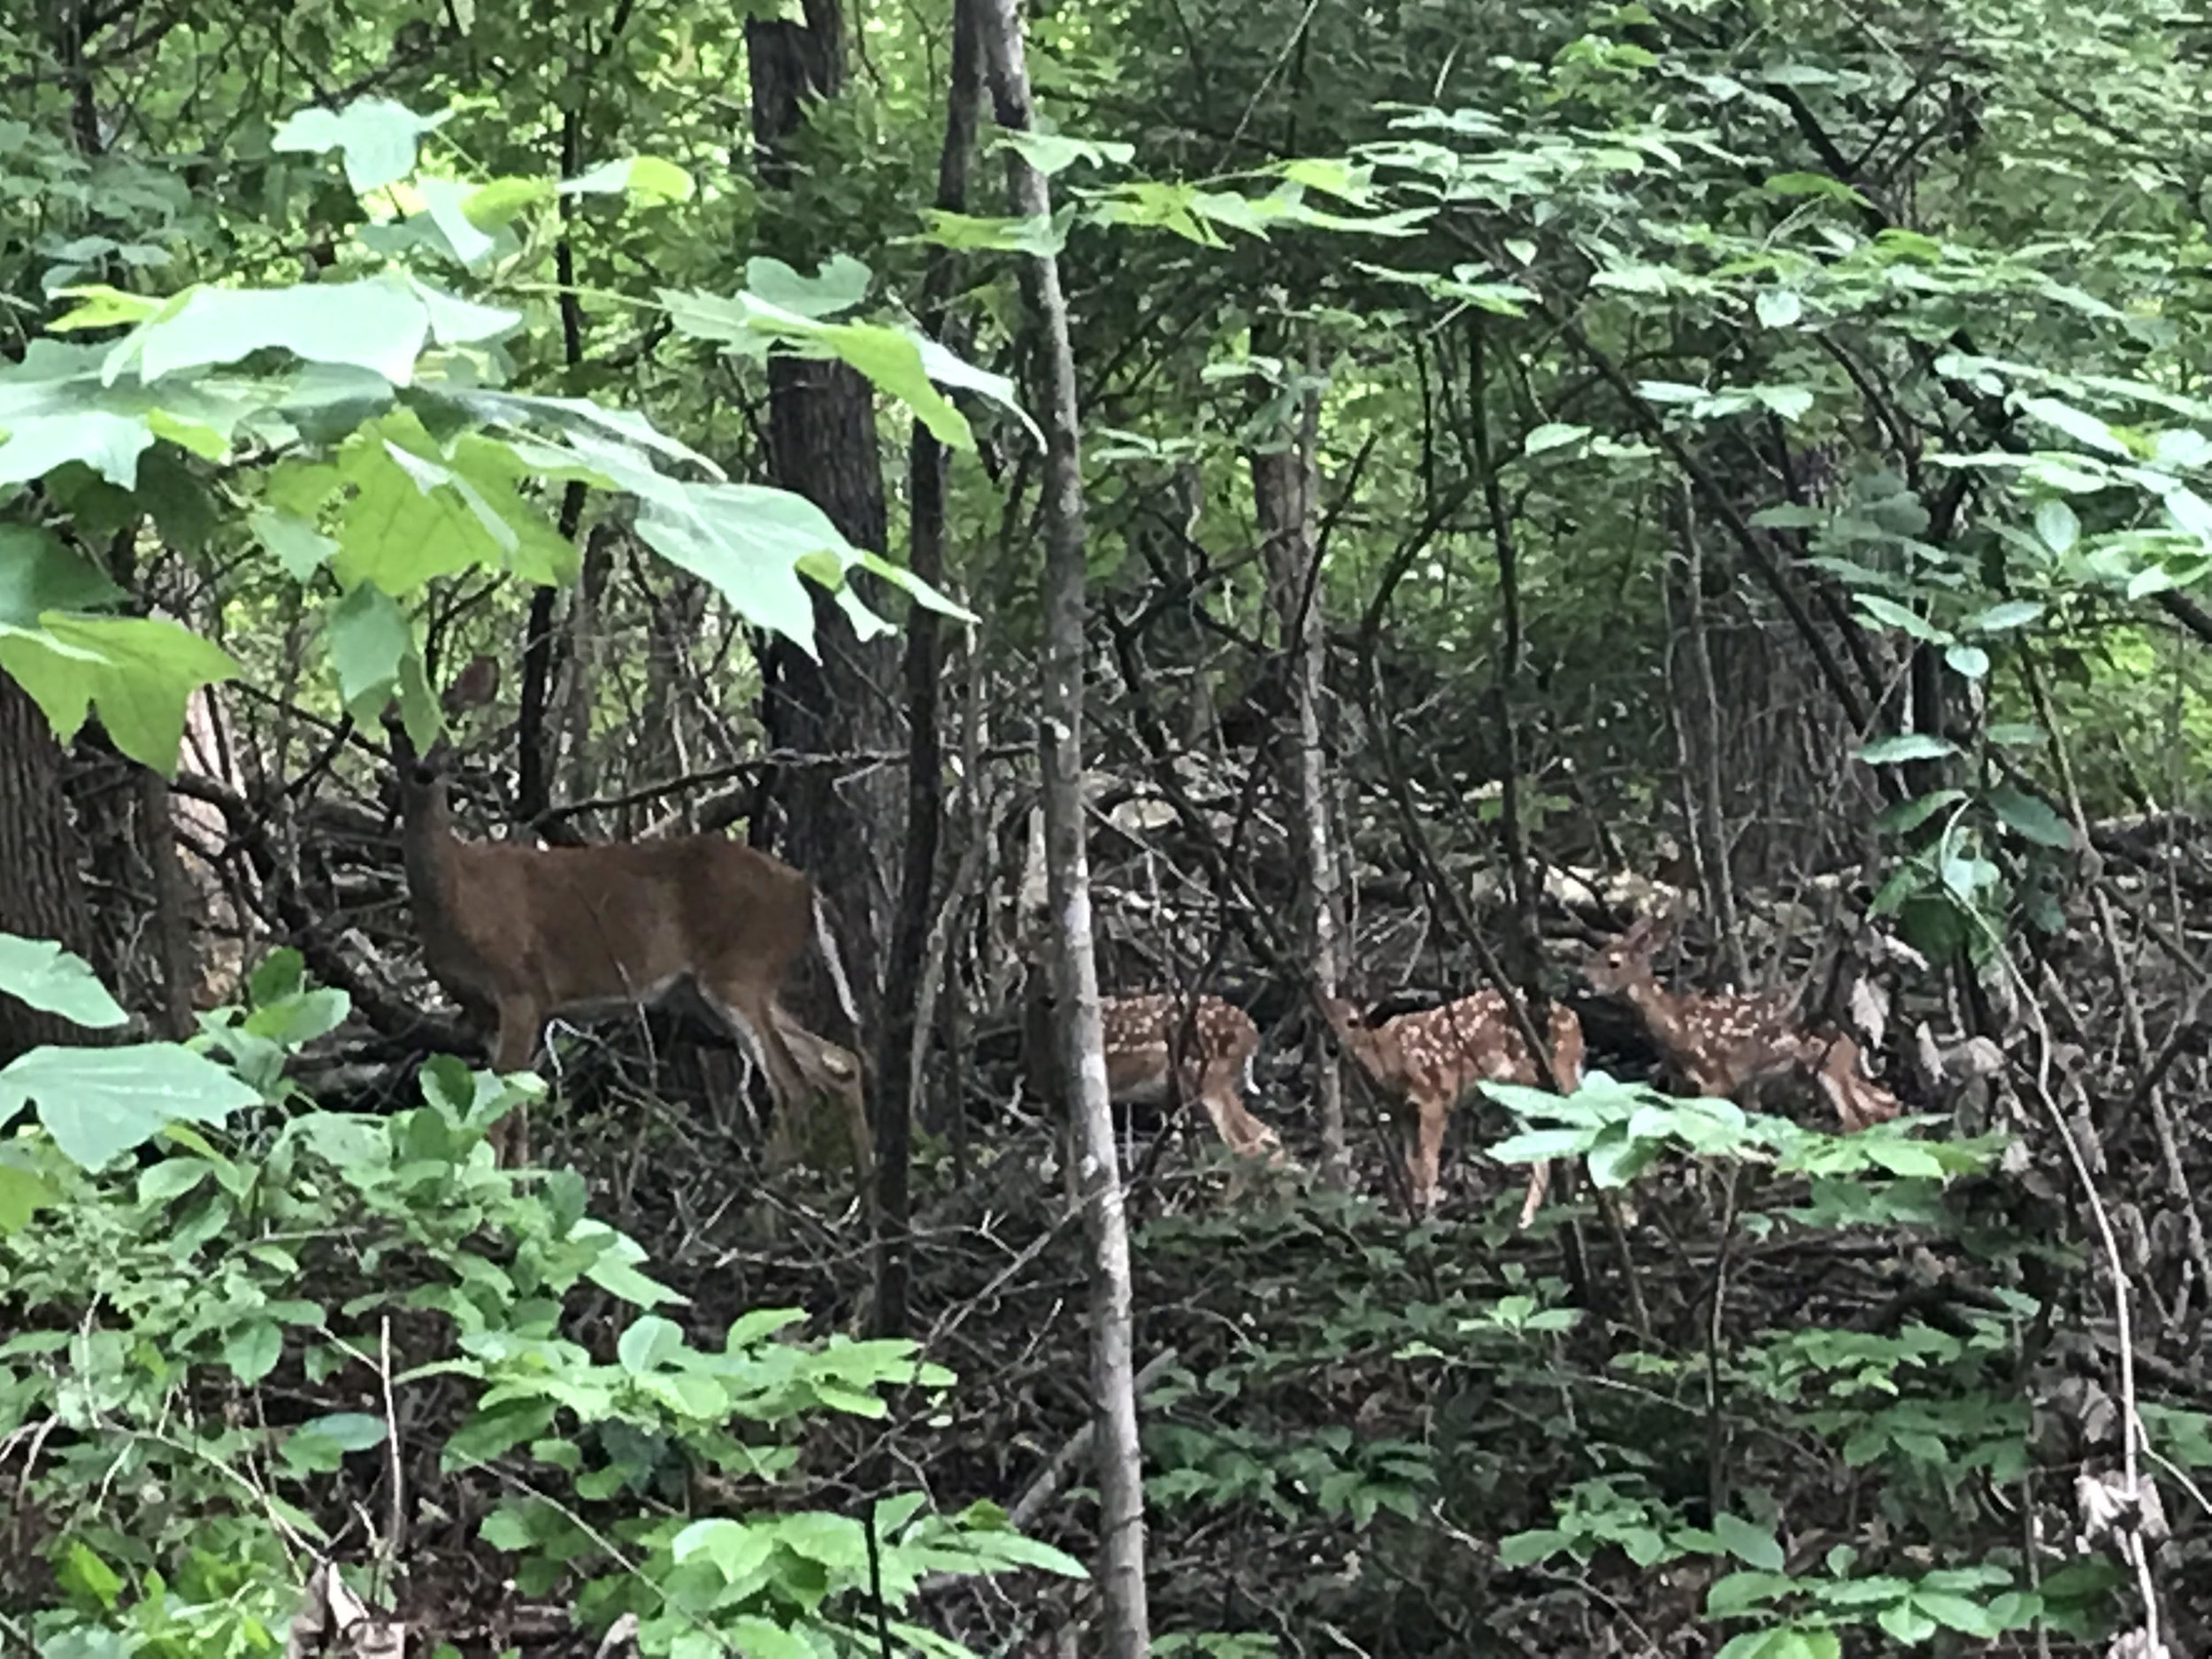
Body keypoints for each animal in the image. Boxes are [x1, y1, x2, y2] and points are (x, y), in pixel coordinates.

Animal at [384, 656, 872, 1190]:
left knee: (794, 1084)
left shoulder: (522, 989)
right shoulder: (487, 1012)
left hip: (741, 965)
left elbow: (499, 1118)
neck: (460, 896)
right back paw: (869, 1197)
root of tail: (805, 889)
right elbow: (518, 1116)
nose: (426, 770)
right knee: (839, 1063)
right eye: (394, 724)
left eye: (447, 718)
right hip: (722, 986)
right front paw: (518, 1193)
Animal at [1319, 989, 1584, 1226]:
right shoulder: (1403, 1112)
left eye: (1353, 1021)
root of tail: (1573, 1021)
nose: (1331, 1048)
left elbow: (1429, 1165)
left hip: (1555, 1069)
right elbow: (1411, 1167)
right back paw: (1528, 1219)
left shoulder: (1433, 1098)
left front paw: (1428, 1218)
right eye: (1324, 1020)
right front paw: (1409, 1218)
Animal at [1579, 914, 1902, 1132]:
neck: (1677, 1023)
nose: (1586, 980)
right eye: (1597, 952)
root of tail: (1849, 1038)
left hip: (1830, 1066)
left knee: (1859, 1115)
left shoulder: (1716, 1076)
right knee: (1882, 1103)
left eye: (1613, 963)